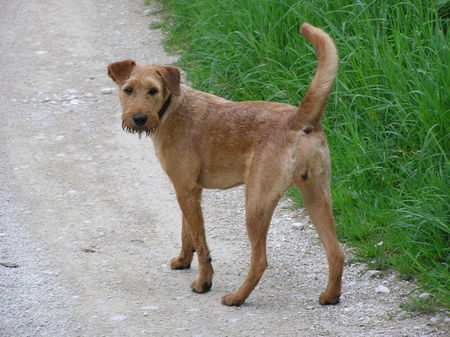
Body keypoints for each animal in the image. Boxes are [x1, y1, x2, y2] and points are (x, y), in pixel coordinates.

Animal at [108, 23, 344, 306]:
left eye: (153, 90)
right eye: (128, 89)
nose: (140, 118)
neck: (170, 109)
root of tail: (299, 119)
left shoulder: (185, 188)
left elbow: (201, 243)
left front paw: (203, 282)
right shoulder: (190, 189)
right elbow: (187, 233)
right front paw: (182, 261)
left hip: (256, 204)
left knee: (260, 260)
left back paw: (236, 297)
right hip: (317, 197)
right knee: (336, 252)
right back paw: (330, 296)